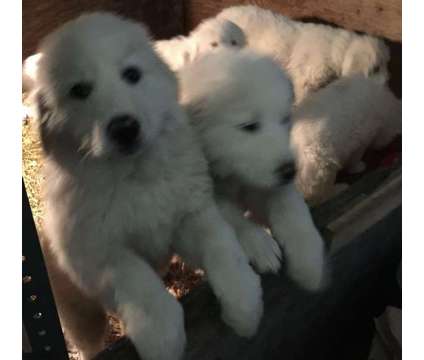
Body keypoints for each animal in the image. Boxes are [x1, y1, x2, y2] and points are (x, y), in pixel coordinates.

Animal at [177, 48, 326, 290]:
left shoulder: (265, 181)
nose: (290, 172)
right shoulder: (205, 195)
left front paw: (309, 259)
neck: (232, 175)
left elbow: (289, 206)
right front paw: (261, 246)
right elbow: (233, 218)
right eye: (248, 126)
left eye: (285, 119)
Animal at [217, 4, 390, 102]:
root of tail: (220, 15)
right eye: (375, 68)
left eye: (386, 64)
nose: (387, 83)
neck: (339, 49)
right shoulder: (306, 80)